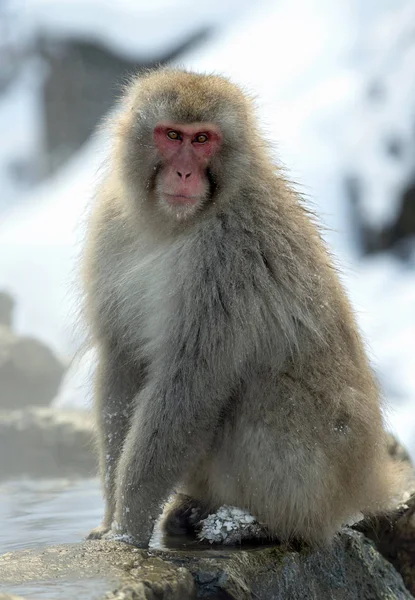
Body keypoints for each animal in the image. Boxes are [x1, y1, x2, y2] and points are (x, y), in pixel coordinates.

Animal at [83, 68, 404, 548]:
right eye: (172, 135)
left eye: (203, 140)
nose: (183, 172)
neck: (172, 227)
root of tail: (367, 480)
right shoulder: (111, 227)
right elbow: (121, 363)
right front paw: (110, 522)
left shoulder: (228, 258)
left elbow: (188, 390)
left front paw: (127, 534)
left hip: (327, 462)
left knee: (259, 391)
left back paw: (261, 524)